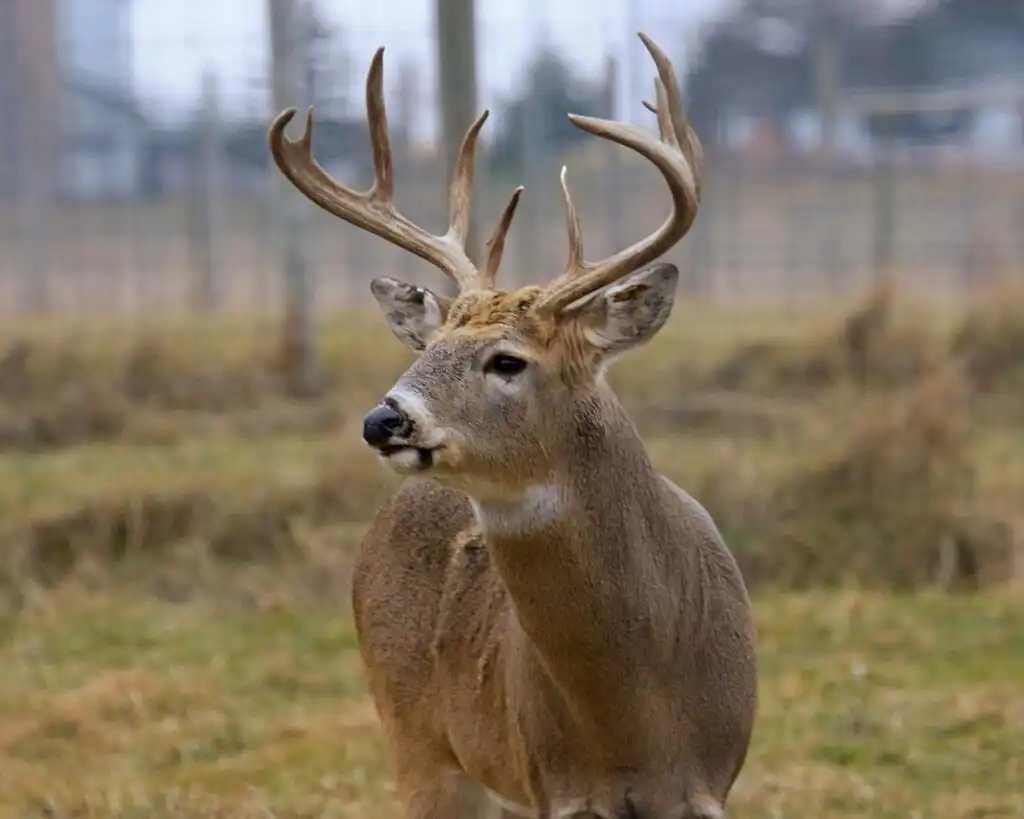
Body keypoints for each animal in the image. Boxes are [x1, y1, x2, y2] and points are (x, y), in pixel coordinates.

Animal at [269, 32, 757, 819]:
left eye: (507, 360)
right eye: (430, 348)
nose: (384, 420)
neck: (636, 725)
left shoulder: (711, 784)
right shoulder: (554, 784)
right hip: (421, 747)